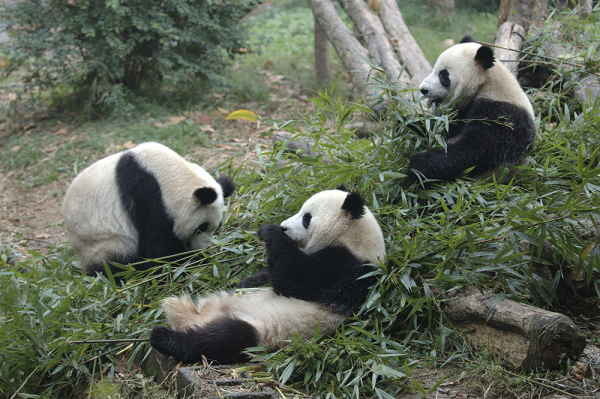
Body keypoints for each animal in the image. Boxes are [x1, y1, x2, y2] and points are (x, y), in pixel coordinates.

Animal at [62, 143, 234, 278]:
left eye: (215, 227)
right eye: (200, 228)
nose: (202, 248)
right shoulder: (147, 198)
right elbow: (159, 250)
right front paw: (191, 259)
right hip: (101, 241)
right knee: (116, 264)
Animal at [149, 188, 384, 366]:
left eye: (306, 218)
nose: (284, 226)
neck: (352, 239)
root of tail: (198, 317)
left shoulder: (349, 270)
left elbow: (296, 279)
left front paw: (270, 232)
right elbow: (272, 275)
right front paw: (247, 281)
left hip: (260, 332)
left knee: (220, 339)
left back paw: (163, 337)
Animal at [410, 36, 536, 183]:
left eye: (443, 75)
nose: (423, 89)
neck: (486, 83)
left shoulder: (502, 115)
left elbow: (477, 150)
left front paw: (418, 165)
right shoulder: (462, 110)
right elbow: (441, 126)